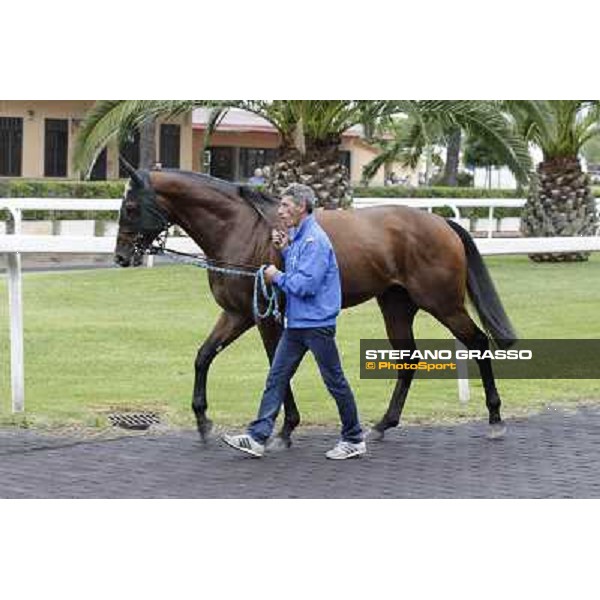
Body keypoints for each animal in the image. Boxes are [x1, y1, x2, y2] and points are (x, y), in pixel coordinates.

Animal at [116, 164, 516, 446]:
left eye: (131, 207)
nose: (121, 256)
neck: (241, 230)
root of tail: (441, 222)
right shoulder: (238, 314)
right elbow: (203, 357)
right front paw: (202, 420)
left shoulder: (266, 319)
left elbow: (277, 369)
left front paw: (283, 428)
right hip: (396, 306)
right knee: (408, 358)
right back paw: (384, 424)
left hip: (442, 303)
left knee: (478, 343)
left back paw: (495, 419)